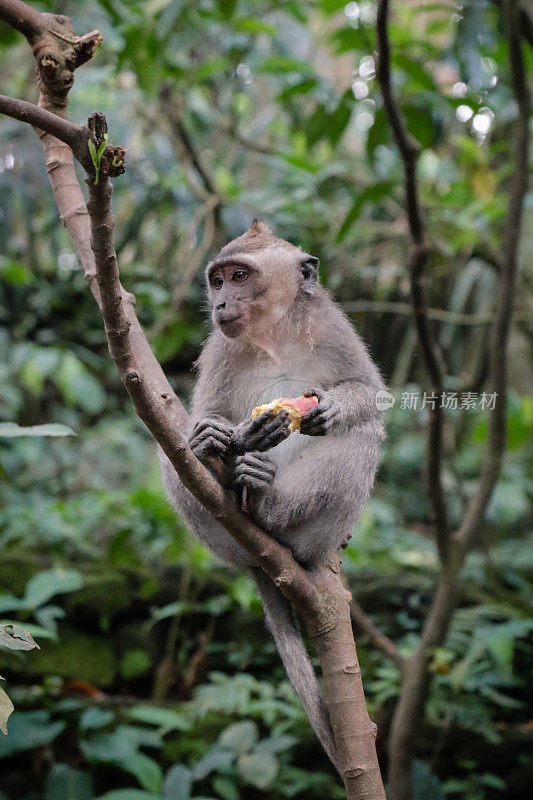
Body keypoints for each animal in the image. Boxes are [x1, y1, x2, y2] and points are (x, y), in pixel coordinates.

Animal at [159, 220, 386, 768]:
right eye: (218, 280)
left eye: (240, 276)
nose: (221, 303)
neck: (274, 337)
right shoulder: (219, 349)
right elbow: (203, 417)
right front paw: (216, 437)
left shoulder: (331, 324)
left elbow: (370, 394)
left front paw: (332, 406)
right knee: (171, 448)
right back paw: (239, 483)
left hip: (317, 532)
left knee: (363, 435)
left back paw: (273, 507)